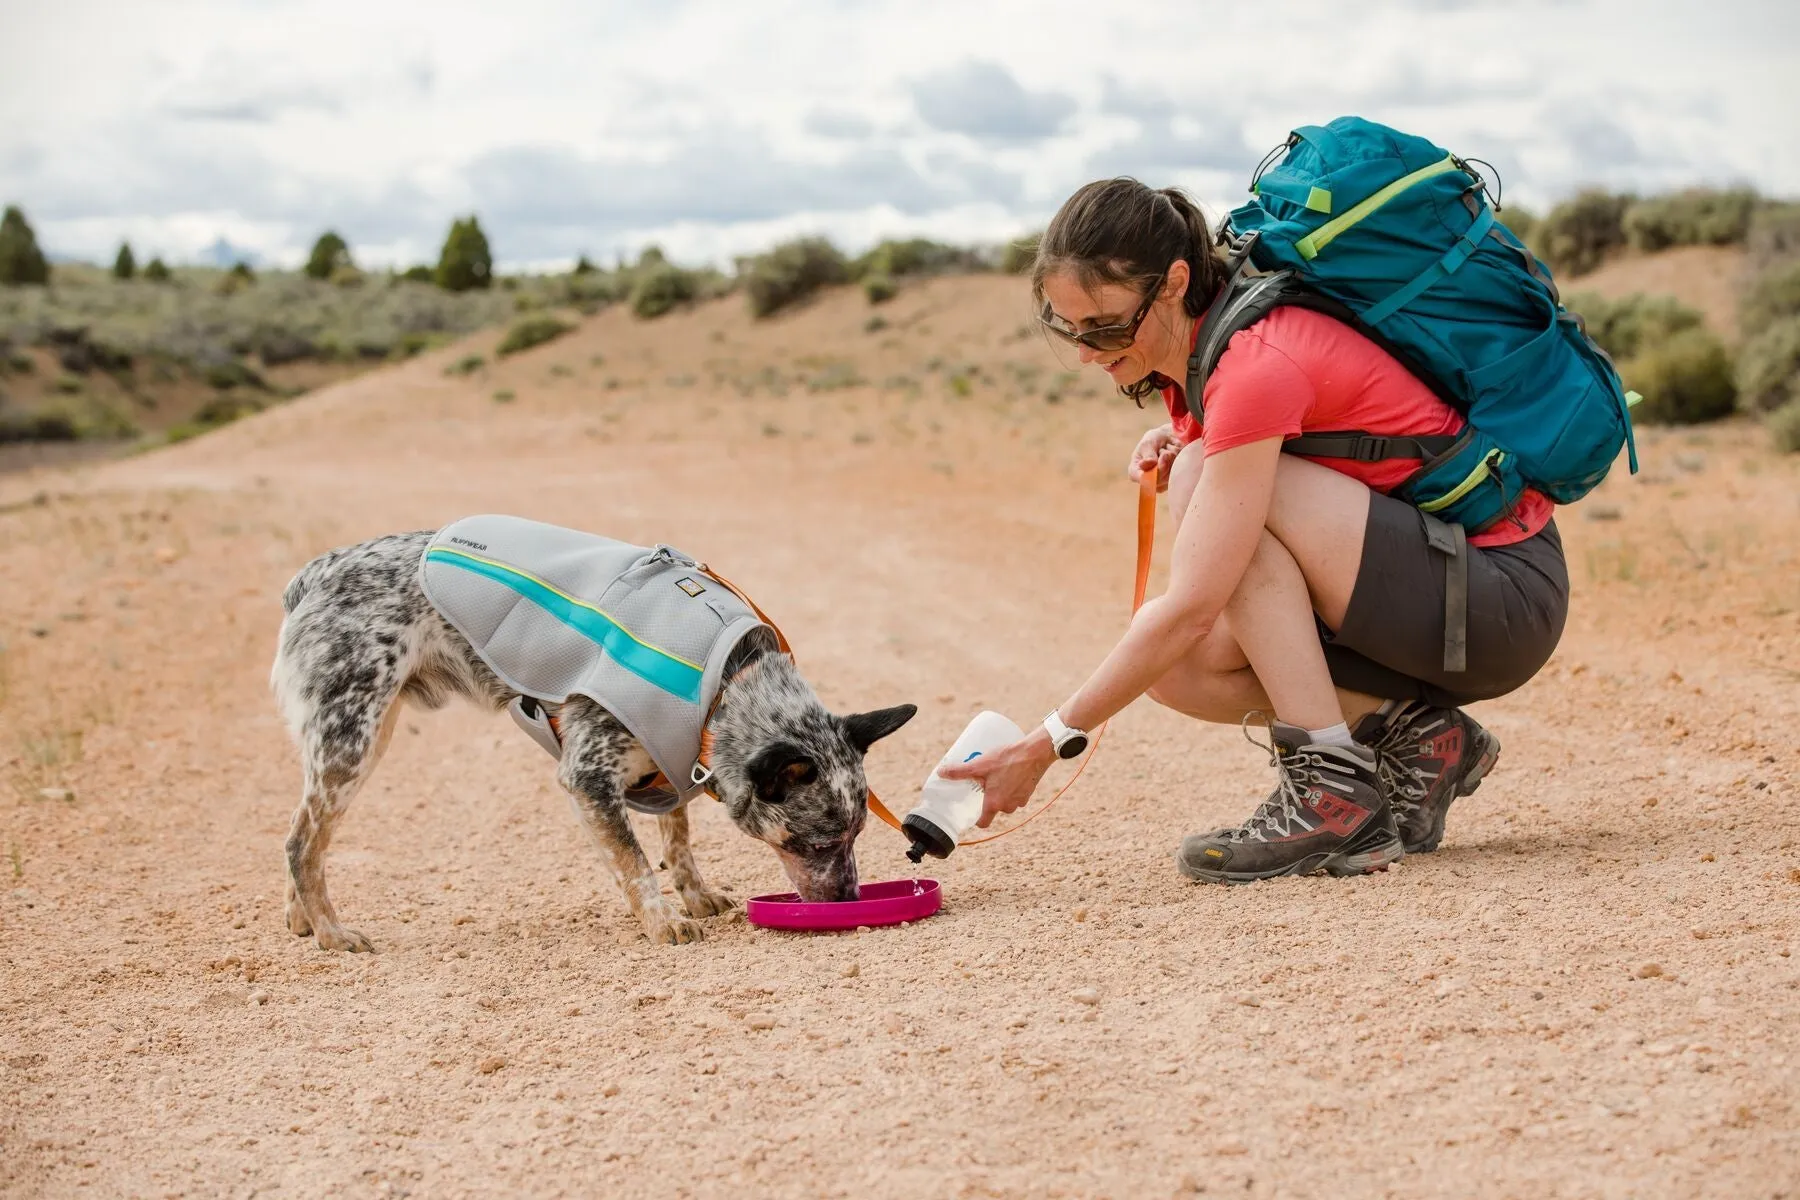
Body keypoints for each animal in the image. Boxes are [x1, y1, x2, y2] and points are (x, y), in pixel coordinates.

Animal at [266, 521, 914, 949]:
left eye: (857, 835)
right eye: (813, 843)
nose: (850, 902)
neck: (725, 682)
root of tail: (317, 572)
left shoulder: (671, 753)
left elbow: (677, 840)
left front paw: (694, 895)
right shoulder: (588, 777)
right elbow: (634, 861)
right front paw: (662, 919)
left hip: (356, 737)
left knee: (304, 831)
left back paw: (302, 920)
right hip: (355, 738)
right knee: (300, 842)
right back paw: (331, 931)